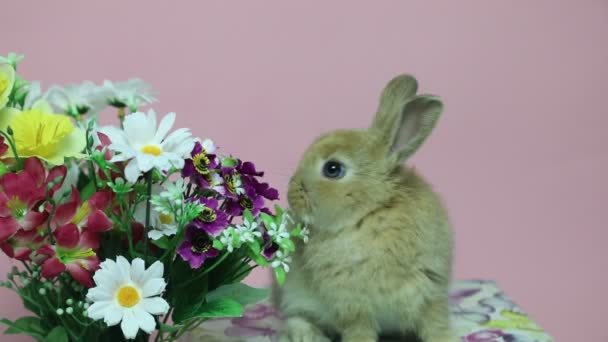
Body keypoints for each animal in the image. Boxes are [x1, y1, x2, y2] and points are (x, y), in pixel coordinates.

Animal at [274, 75, 454, 342]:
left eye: (333, 169)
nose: (291, 196)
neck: (372, 210)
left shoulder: (430, 292)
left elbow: (435, 325)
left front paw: (447, 338)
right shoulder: (351, 305)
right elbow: (359, 330)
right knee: (296, 318)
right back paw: (309, 335)